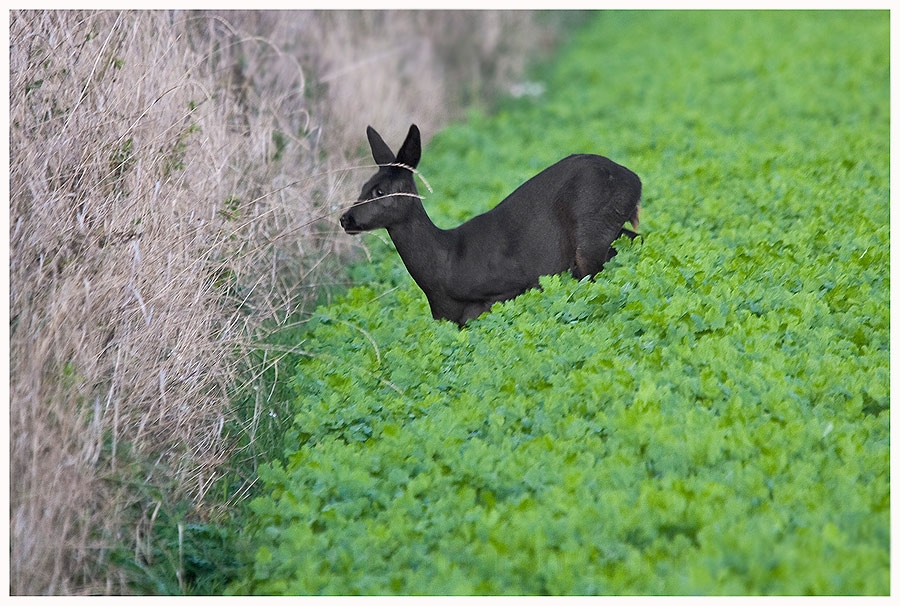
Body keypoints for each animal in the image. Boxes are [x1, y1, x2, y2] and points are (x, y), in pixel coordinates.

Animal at [338, 124, 640, 330]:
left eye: (379, 191)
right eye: (363, 186)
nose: (345, 219)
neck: (443, 270)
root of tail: (634, 180)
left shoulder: (506, 289)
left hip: (591, 232)